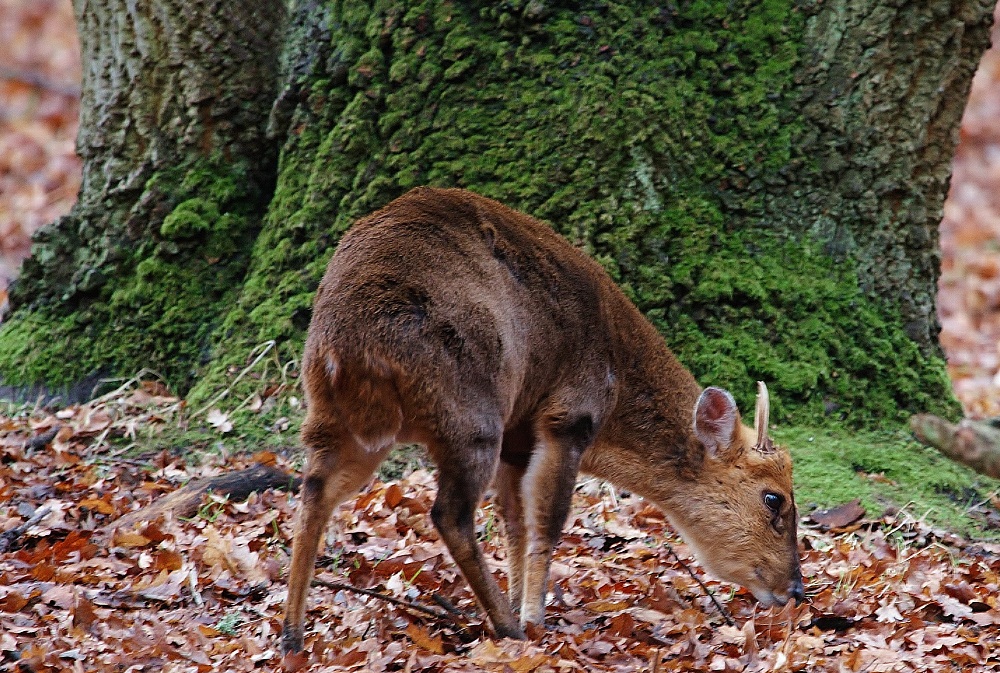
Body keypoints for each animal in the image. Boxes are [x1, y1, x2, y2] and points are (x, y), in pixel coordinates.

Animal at [282, 186, 804, 652]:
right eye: (773, 499)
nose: (796, 591)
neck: (617, 387)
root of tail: (348, 343)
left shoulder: (518, 438)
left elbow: (514, 522)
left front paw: (522, 602)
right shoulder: (569, 414)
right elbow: (547, 522)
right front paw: (533, 617)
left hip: (335, 414)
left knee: (315, 490)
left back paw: (292, 636)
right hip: (471, 409)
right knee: (448, 512)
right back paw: (505, 626)